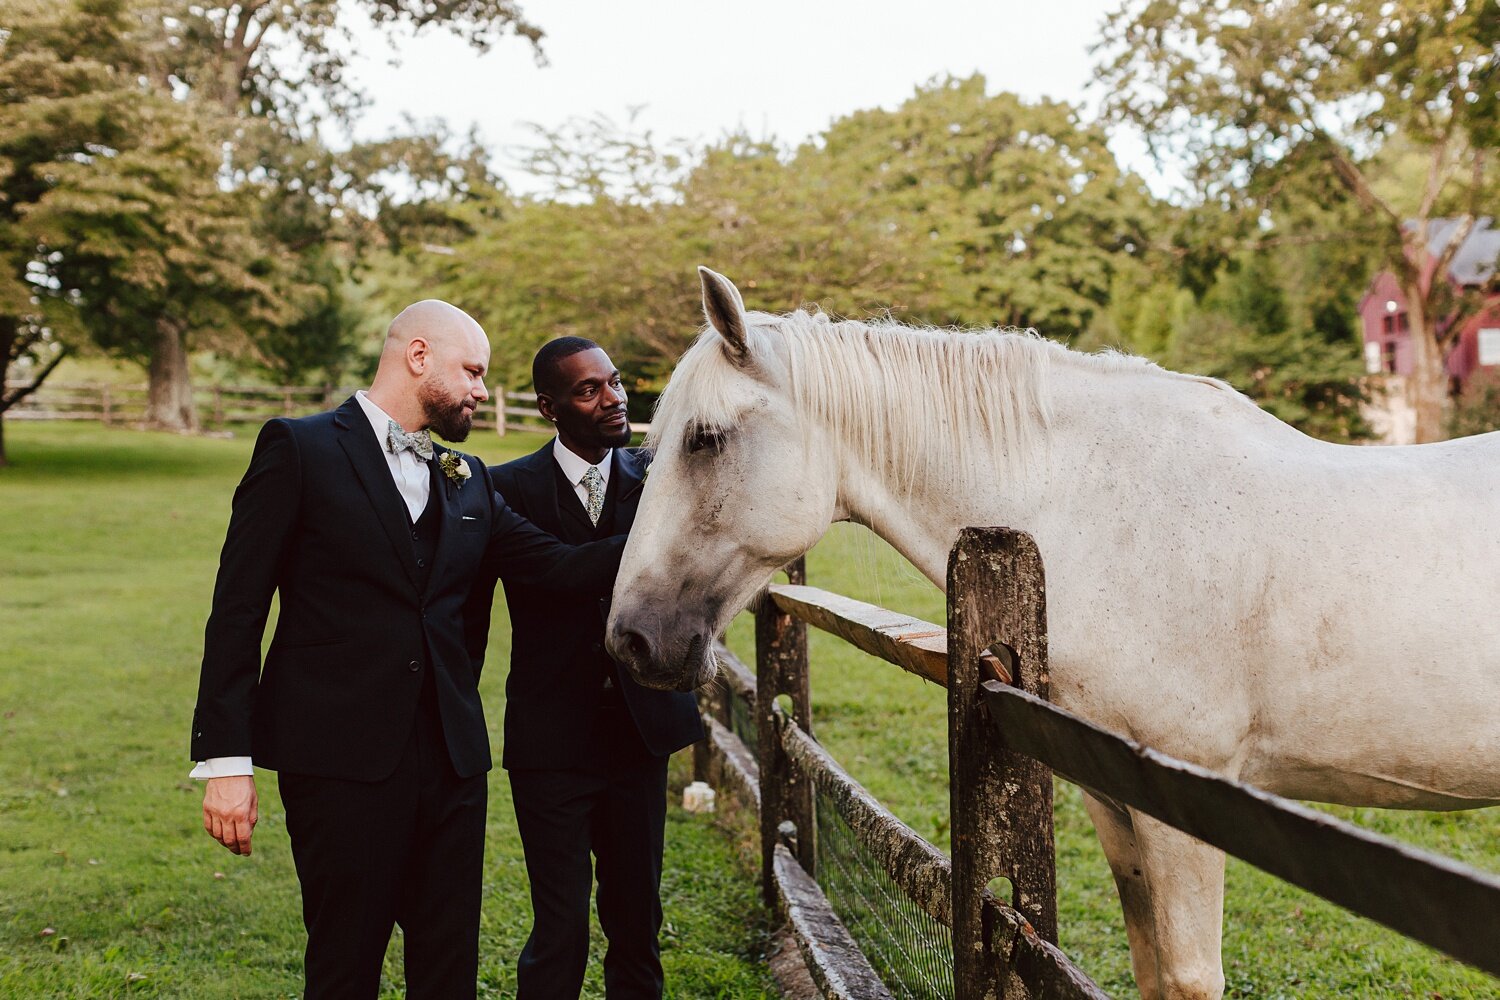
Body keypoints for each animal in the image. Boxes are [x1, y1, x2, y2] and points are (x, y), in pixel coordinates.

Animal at [603, 265, 1500, 1000]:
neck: (1104, 512)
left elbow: (1189, 977)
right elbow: (1151, 968)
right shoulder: (1114, 797)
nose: (631, 639)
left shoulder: (1187, 804)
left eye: (705, 439)